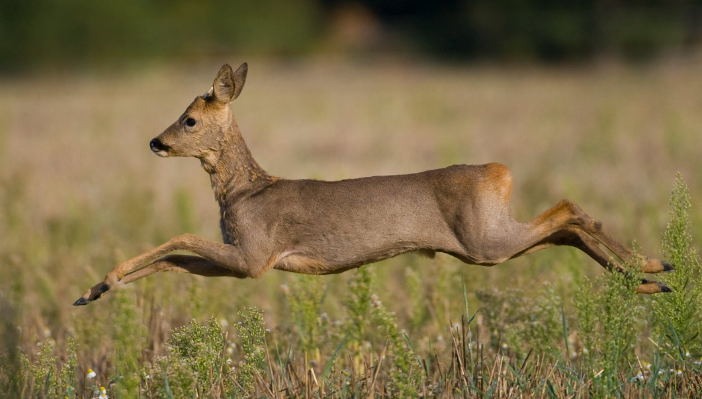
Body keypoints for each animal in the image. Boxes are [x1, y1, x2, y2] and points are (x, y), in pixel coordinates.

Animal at [74, 62, 672, 306]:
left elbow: (178, 241)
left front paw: (106, 279)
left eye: (190, 120)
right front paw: (96, 290)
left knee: (568, 210)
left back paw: (652, 268)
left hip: (485, 239)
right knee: (565, 227)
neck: (243, 191)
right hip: (488, 240)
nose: (156, 142)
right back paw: (650, 277)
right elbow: (176, 260)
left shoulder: (254, 255)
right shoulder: (244, 259)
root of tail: (498, 171)